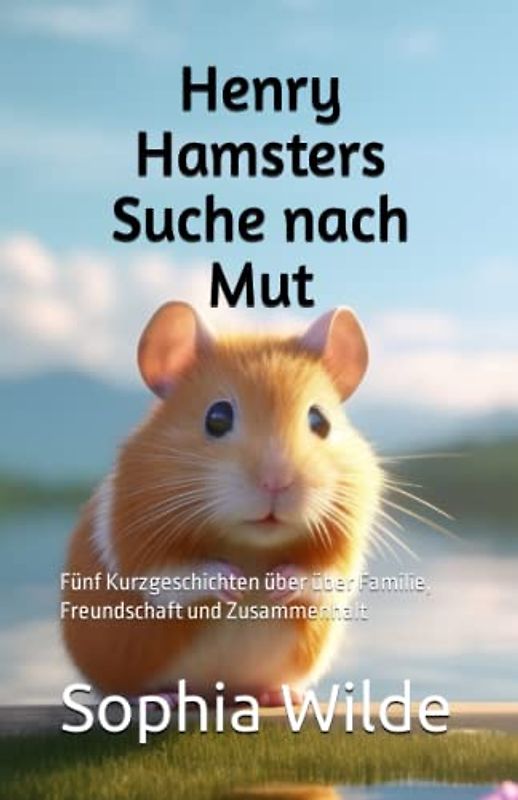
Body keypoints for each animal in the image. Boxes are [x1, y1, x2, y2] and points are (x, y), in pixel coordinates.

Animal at [62, 302, 382, 703]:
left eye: (319, 421)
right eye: (217, 417)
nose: (276, 481)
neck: (251, 545)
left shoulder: (345, 546)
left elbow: (327, 577)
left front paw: (277, 584)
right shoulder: (136, 543)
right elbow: (172, 577)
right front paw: (235, 583)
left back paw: (279, 696)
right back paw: (160, 698)